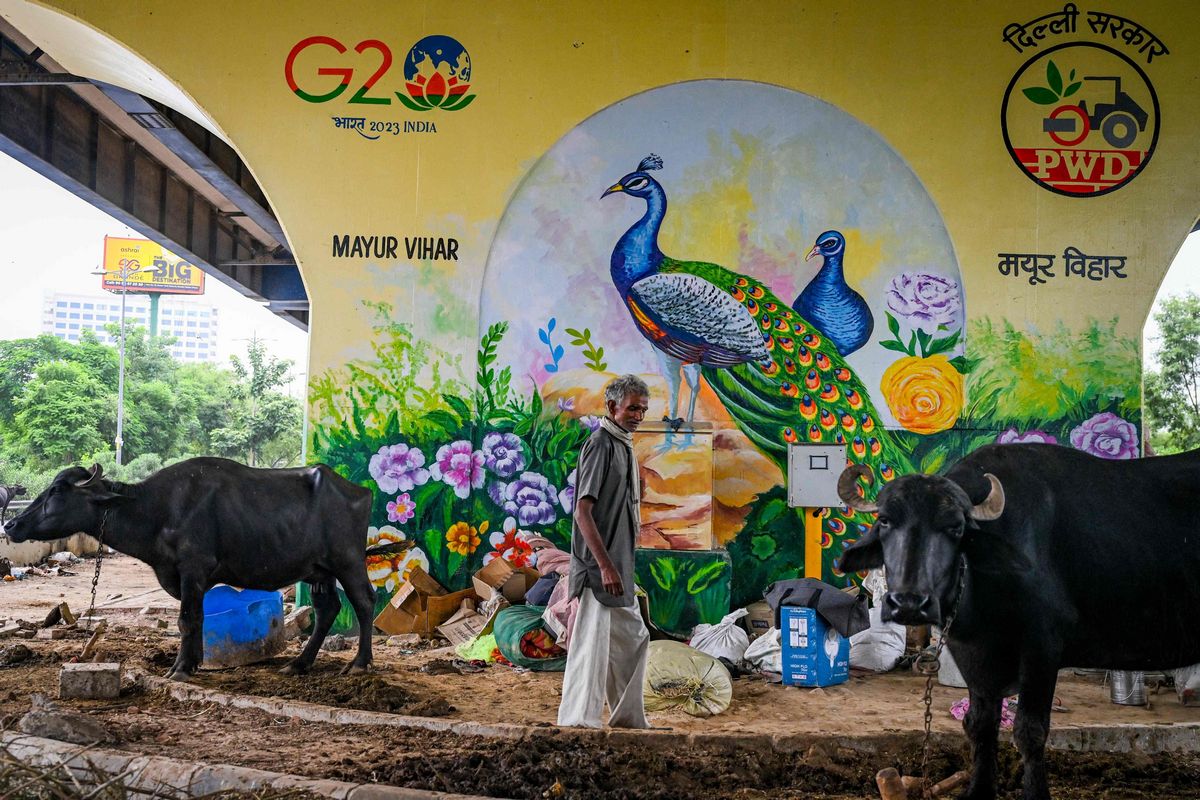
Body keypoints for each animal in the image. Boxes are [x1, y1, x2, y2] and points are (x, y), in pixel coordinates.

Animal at [3, 460, 379, 681]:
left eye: (57, 490)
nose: (11, 524)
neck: (158, 510)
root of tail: (359, 490)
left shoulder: (192, 569)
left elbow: (187, 619)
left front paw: (180, 668)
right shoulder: (189, 579)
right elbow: (198, 618)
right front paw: (195, 661)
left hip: (348, 560)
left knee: (364, 602)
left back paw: (360, 662)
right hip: (318, 571)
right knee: (327, 608)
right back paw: (299, 663)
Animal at [835, 443, 1200, 800]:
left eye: (955, 528)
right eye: (885, 521)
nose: (910, 603)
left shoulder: (1042, 650)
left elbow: (1030, 731)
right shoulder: (975, 656)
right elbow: (980, 724)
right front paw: (978, 790)